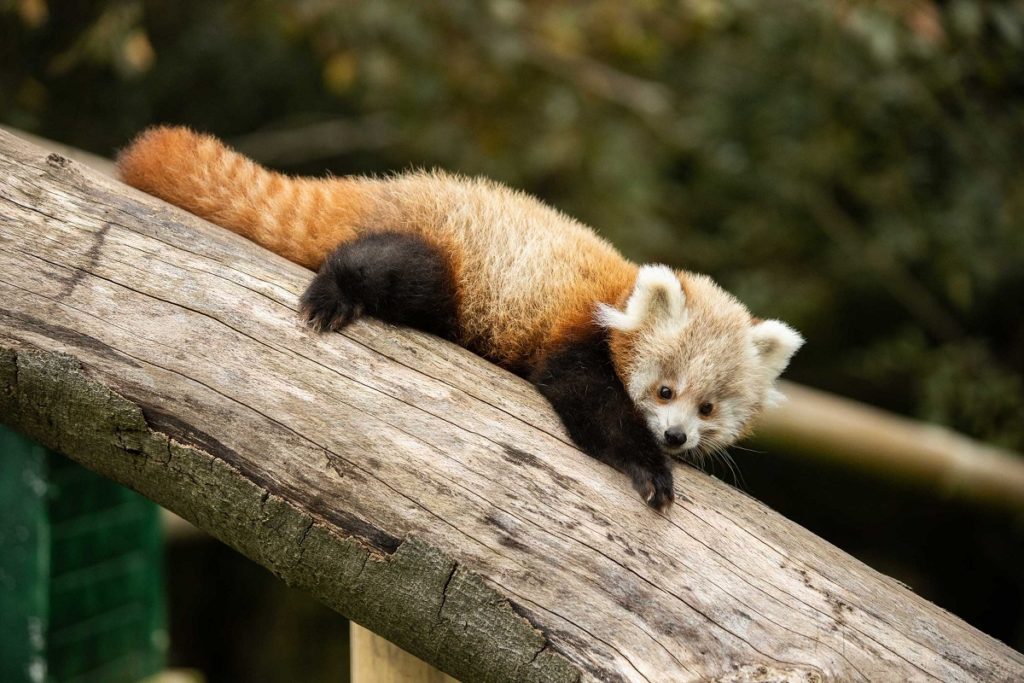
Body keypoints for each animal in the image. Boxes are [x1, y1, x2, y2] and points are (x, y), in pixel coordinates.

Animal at [119, 126, 802, 511]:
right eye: (664, 391)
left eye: (707, 407)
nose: (677, 437)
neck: (620, 292)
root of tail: (395, 186)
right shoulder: (578, 334)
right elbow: (591, 403)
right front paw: (650, 470)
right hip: (444, 262)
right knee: (393, 268)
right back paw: (334, 291)